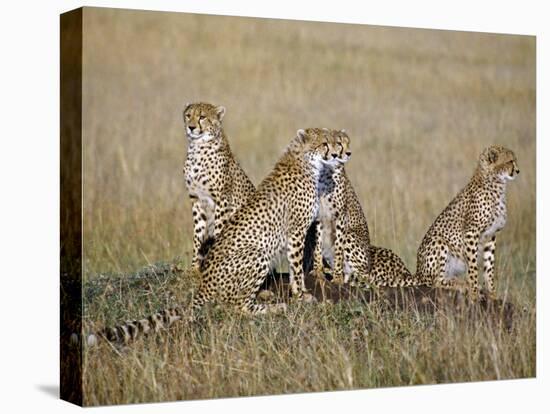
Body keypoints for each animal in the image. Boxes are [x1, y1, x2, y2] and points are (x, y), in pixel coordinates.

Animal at [85, 128, 344, 344]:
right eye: (324, 142)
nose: (335, 153)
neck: (303, 162)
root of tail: (204, 284)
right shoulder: (296, 232)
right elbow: (297, 269)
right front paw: (302, 295)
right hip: (257, 253)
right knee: (236, 306)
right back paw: (273, 308)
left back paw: (264, 295)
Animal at [183, 102, 256, 270]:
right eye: (188, 115)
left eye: (202, 117)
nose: (191, 127)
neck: (197, 148)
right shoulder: (196, 199)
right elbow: (198, 234)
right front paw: (194, 267)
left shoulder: (221, 199)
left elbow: (218, 230)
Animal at [308, 129, 416, 288]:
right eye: (338, 143)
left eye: (348, 143)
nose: (348, 153)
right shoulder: (321, 217)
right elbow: (318, 246)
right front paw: (317, 271)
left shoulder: (340, 217)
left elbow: (338, 250)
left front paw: (337, 278)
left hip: (351, 237)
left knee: (364, 277)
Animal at [418, 144, 520, 300]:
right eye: (510, 161)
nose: (518, 171)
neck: (496, 183)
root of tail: (417, 273)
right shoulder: (471, 233)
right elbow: (473, 267)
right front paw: (474, 293)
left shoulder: (491, 235)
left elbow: (489, 267)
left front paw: (492, 294)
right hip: (438, 241)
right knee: (435, 281)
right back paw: (461, 285)